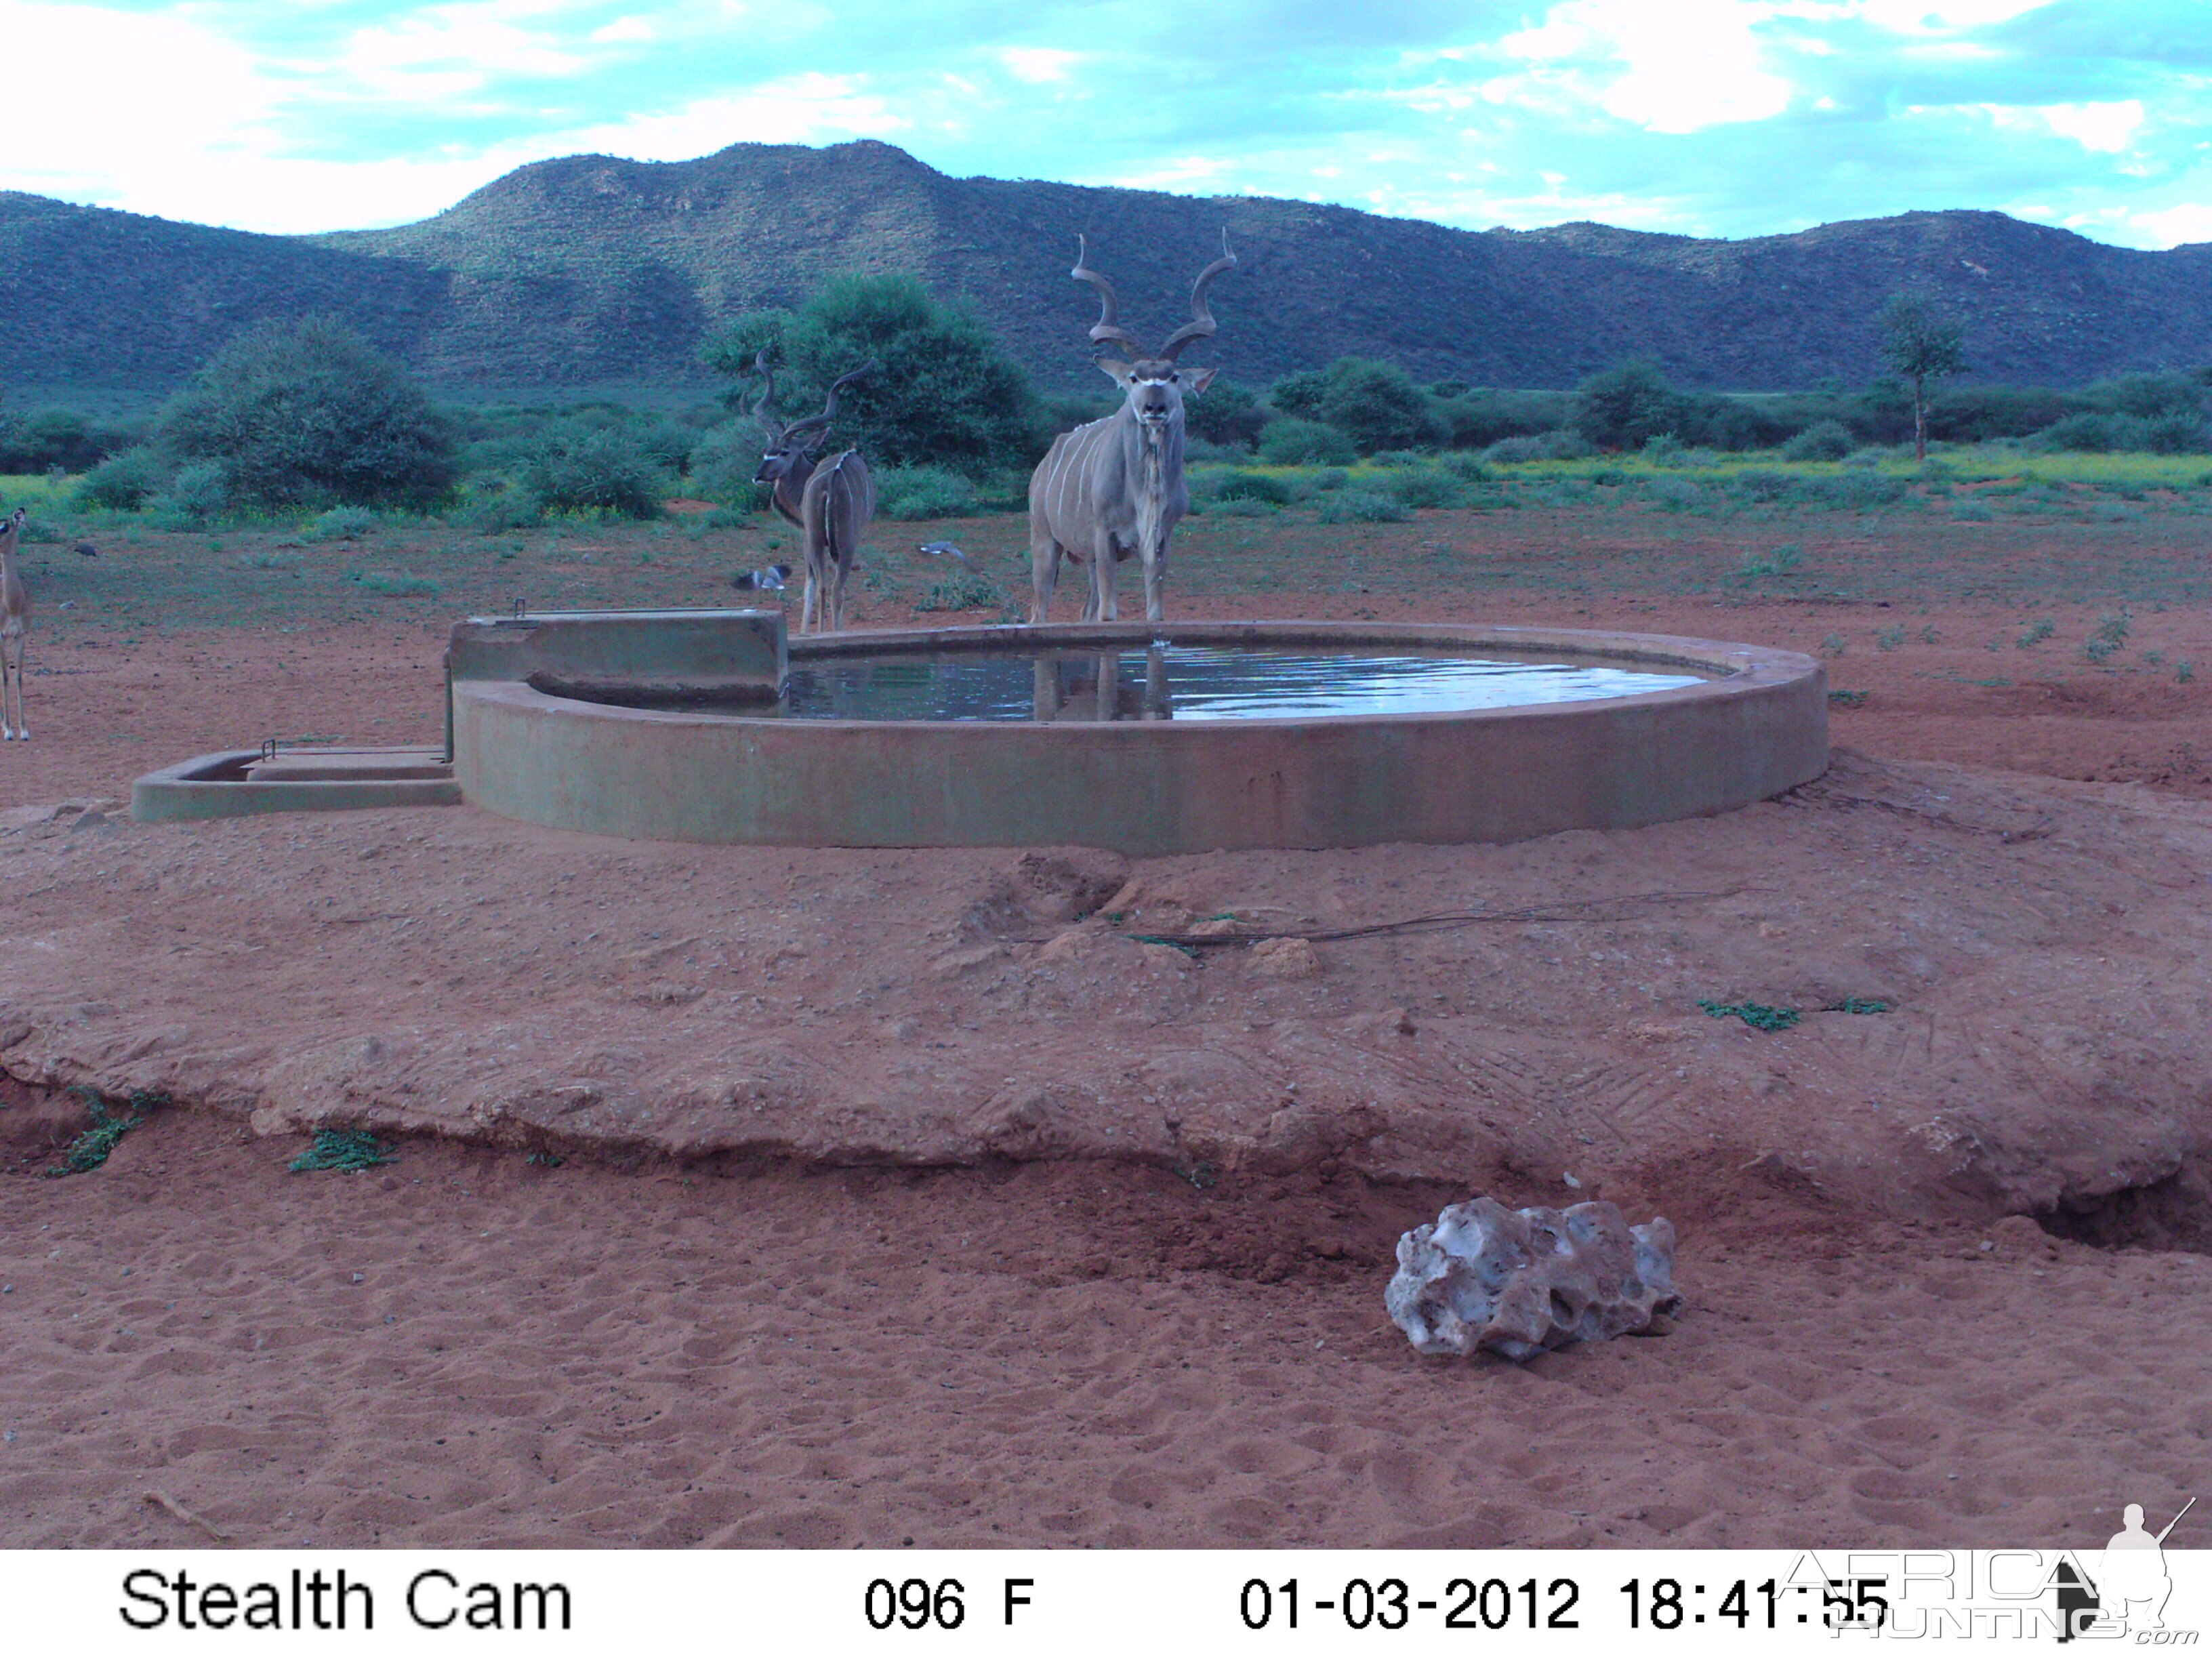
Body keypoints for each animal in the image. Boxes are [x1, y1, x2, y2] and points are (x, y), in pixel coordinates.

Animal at [747, 354, 876, 632]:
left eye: (784, 451)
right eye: (766, 450)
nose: (758, 476)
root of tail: (831, 481)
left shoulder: (808, 537)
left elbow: (810, 585)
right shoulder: (814, 539)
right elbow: (812, 586)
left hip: (823, 541)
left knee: (826, 588)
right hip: (840, 542)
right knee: (833, 589)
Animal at [1026, 231, 1238, 628]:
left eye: (1173, 377)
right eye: (1134, 378)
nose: (1154, 407)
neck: (1144, 491)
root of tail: (1043, 466)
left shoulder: (1160, 539)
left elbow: (1152, 612)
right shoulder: (1104, 536)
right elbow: (1109, 615)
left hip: (1086, 558)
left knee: (1086, 610)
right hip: (1045, 542)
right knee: (1040, 609)